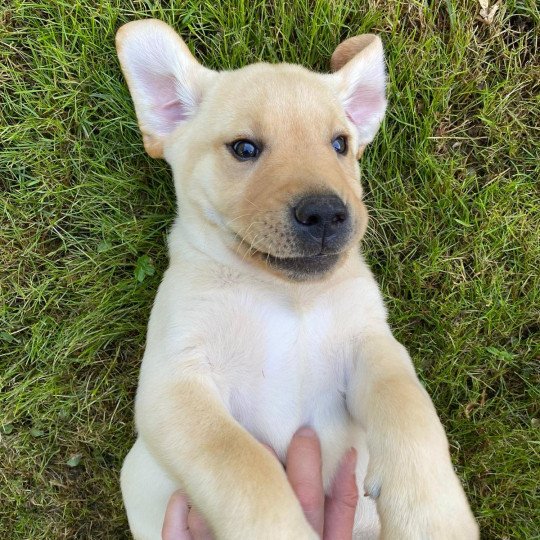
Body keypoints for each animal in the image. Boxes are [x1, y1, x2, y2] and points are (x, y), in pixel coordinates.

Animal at [116, 19, 478, 536]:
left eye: (340, 144)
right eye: (244, 148)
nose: (326, 213)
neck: (284, 294)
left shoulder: (372, 345)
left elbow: (408, 405)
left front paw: (431, 512)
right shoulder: (175, 385)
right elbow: (241, 463)